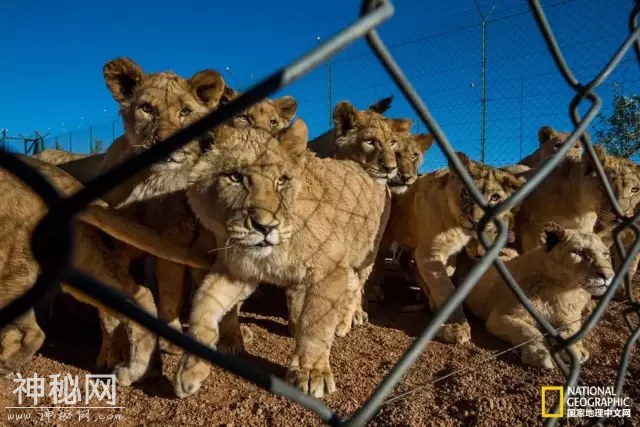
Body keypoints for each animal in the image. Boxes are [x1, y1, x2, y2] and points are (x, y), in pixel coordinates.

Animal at [172, 119, 388, 398]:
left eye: (282, 180)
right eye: (235, 177)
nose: (266, 227)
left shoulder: (330, 269)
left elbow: (317, 325)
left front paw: (311, 372)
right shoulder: (239, 270)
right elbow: (203, 306)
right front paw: (190, 369)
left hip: (365, 256)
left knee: (355, 288)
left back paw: (343, 321)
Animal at [382, 155, 528, 346]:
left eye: (495, 197)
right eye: (466, 192)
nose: (475, 221)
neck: (456, 226)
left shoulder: (450, 254)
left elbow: (447, 277)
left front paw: (434, 302)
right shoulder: (429, 254)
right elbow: (445, 288)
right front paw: (455, 327)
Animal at [464, 224, 616, 368]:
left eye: (605, 254)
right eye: (578, 252)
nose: (607, 275)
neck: (560, 291)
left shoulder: (570, 318)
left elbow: (571, 331)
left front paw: (575, 350)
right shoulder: (500, 316)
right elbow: (529, 331)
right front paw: (539, 354)